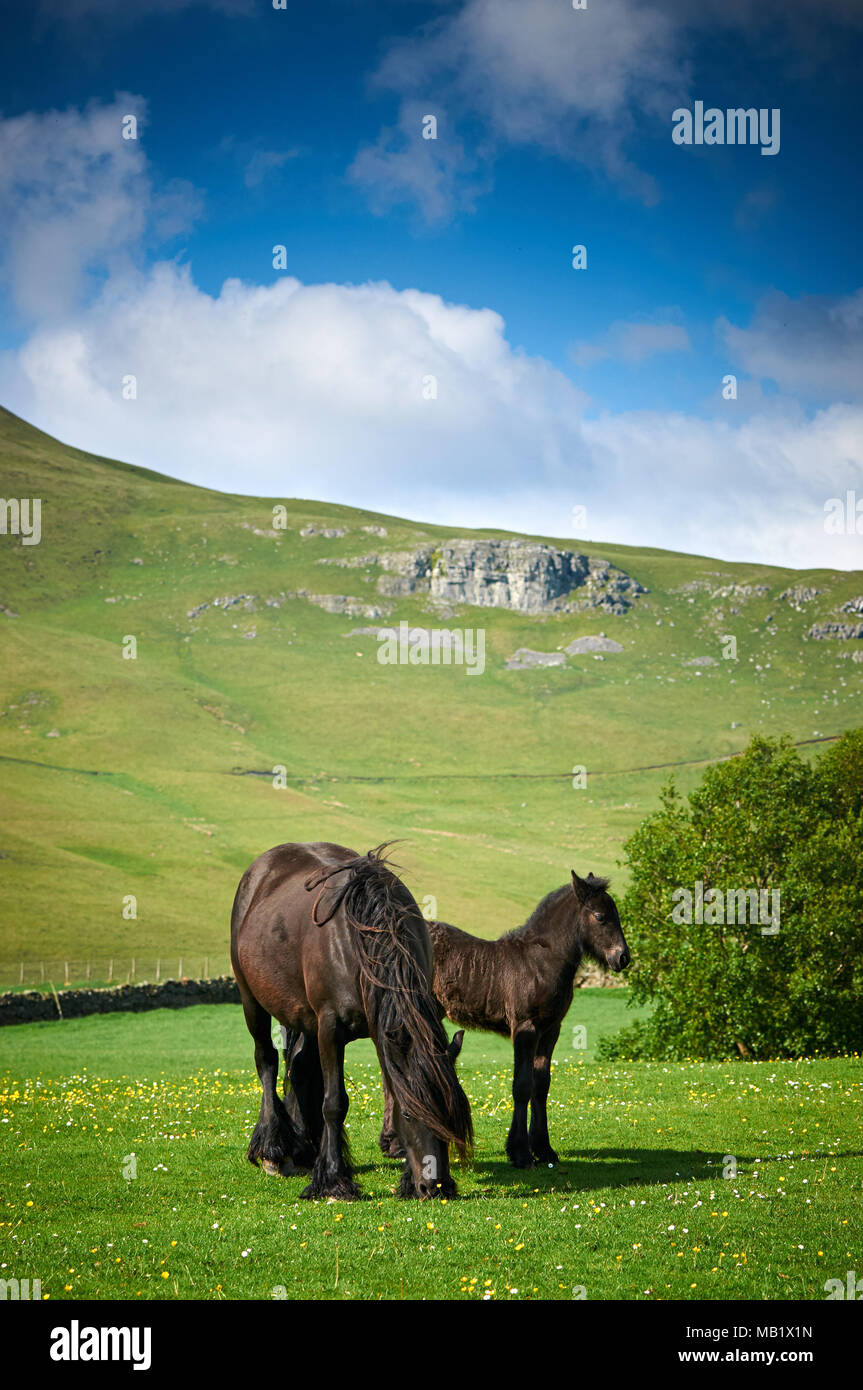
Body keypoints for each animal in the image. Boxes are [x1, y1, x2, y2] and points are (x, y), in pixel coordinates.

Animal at [229, 839, 472, 1200]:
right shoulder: (330, 1027)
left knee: (298, 1067)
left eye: (453, 1111)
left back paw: (302, 1150)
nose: (434, 1186)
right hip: (253, 1002)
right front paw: (333, 1180)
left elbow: (389, 1085)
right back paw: (273, 1151)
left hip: (304, 1019)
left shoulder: (380, 1028)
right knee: (267, 1061)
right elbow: (334, 1103)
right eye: (410, 1113)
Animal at [377, 872, 625, 1167]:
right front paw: (520, 1152)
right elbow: (522, 1086)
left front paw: (544, 1149)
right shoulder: (525, 1028)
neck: (540, 961)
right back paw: (395, 1144)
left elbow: (541, 1085)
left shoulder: (550, 1029)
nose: (623, 957)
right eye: (600, 916)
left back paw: (391, 1144)